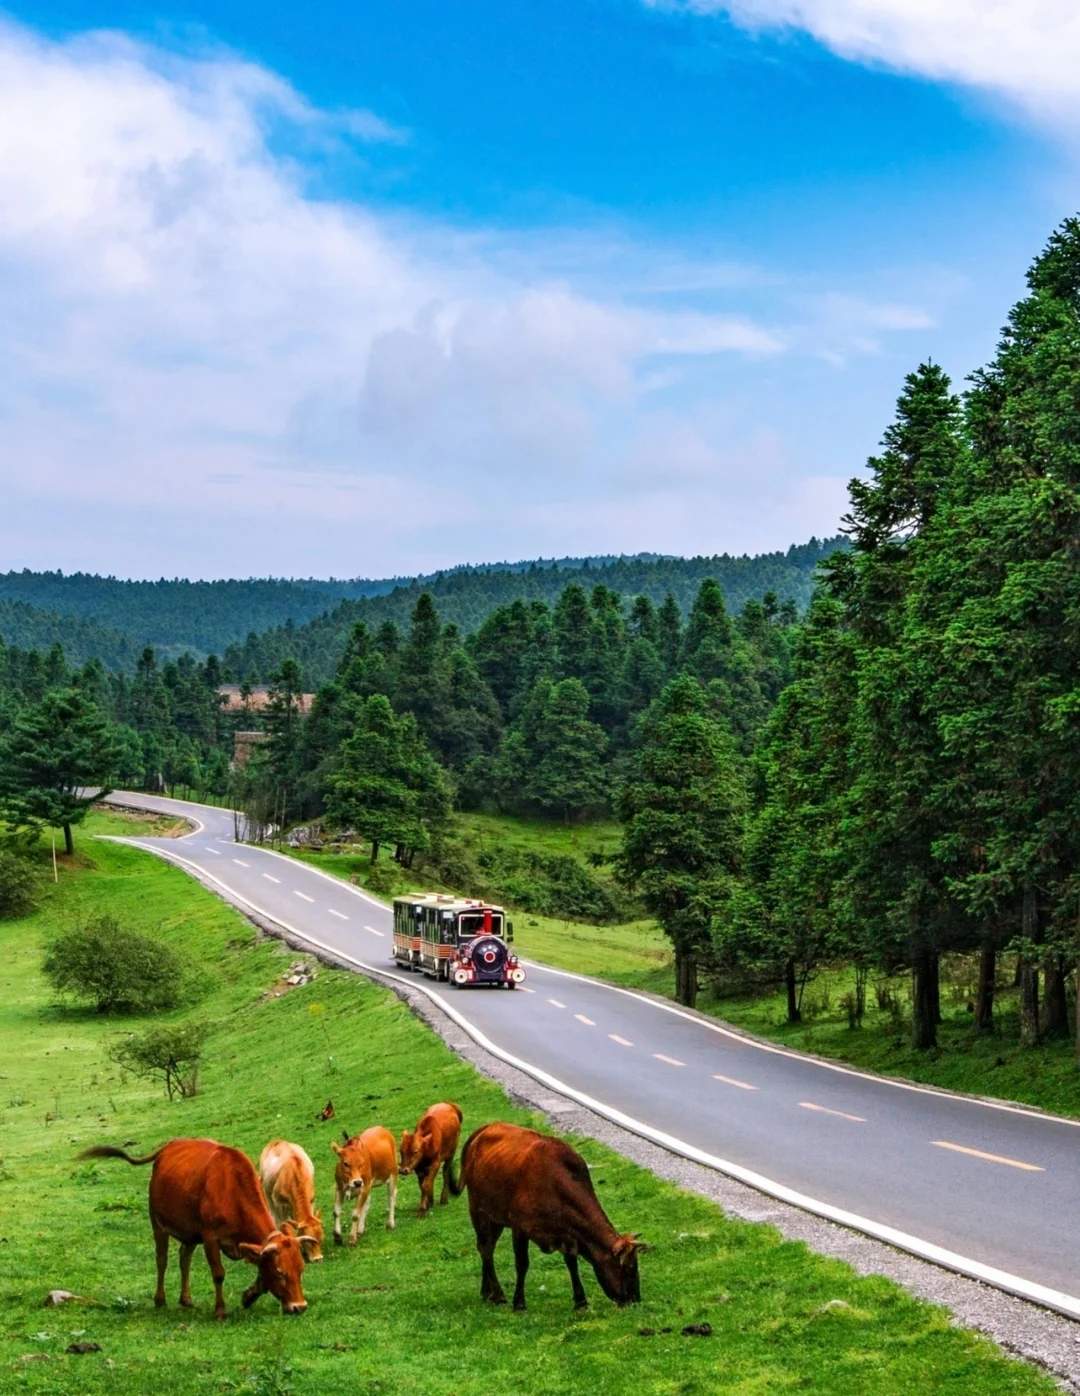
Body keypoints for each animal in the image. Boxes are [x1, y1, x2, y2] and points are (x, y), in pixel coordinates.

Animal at [80, 1133, 315, 1317]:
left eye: (301, 1269)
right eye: (280, 1273)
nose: (300, 1307)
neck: (231, 1187)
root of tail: (168, 1146)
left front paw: (248, 1296)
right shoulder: (210, 1237)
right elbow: (218, 1273)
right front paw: (220, 1310)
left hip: (190, 1232)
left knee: (184, 1259)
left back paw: (186, 1299)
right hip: (158, 1223)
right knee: (162, 1260)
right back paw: (160, 1299)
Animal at [452, 1122, 647, 1306]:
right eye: (629, 1268)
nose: (635, 1299)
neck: (556, 1184)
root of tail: (485, 1128)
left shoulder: (568, 1234)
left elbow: (571, 1262)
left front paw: (580, 1301)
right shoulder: (519, 1227)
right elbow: (522, 1264)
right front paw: (519, 1303)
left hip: (495, 1216)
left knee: (488, 1247)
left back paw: (487, 1292)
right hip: (478, 1210)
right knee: (485, 1248)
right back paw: (496, 1294)